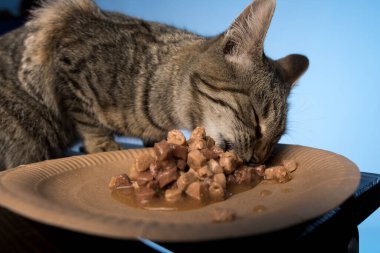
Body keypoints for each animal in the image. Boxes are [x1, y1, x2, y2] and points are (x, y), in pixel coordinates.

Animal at [0, 0, 308, 170]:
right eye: (256, 119)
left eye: (277, 138)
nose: (259, 160)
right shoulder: (64, 36)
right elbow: (87, 116)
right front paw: (102, 144)